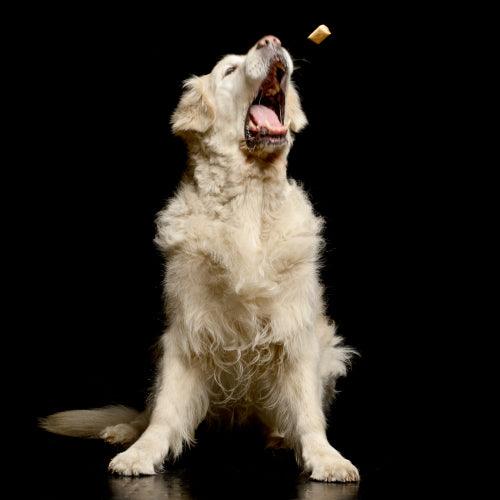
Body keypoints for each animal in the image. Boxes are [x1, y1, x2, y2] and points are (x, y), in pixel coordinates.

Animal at [40, 34, 360, 480]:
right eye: (229, 70)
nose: (271, 41)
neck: (249, 199)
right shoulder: (186, 329)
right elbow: (166, 410)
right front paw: (142, 452)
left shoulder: (296, 328)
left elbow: (308, 412)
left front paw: (326, 456)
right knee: (147, 410)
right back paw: (125, 430)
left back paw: (280, 435)